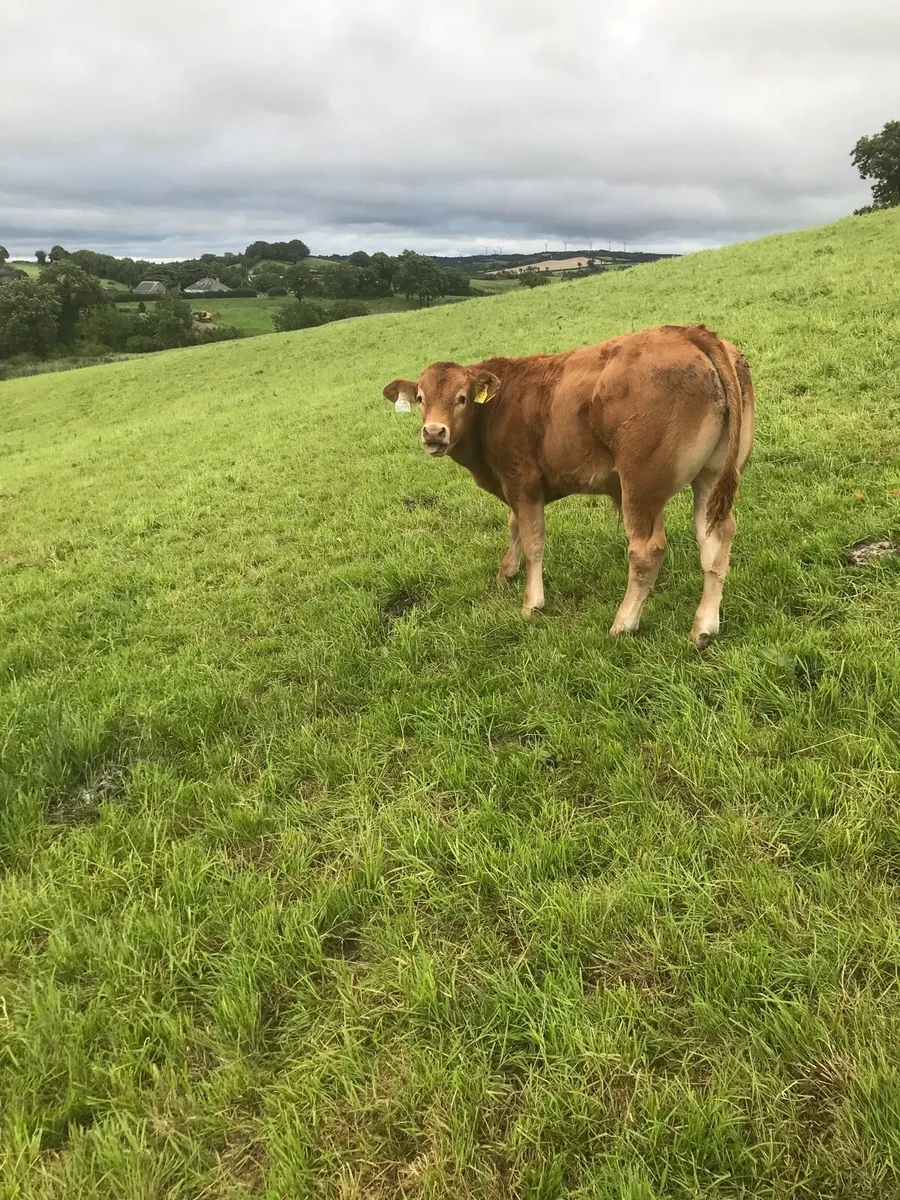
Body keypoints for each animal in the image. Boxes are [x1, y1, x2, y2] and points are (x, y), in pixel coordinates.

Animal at [382, 324, 755, 647]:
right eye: (420, 397)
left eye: (462, 397)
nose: (434, 433)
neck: (497, 407)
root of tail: (689, 332)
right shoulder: (515, 487)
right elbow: (514, 526)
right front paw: (507, 571)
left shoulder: (522, 481)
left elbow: (532, 541)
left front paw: (532, 602)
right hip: (711, 476)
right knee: (715, 540)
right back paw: (704, 627)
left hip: (641, 484)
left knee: (646, 550)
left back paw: (623, 623)